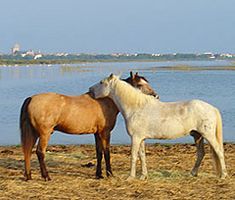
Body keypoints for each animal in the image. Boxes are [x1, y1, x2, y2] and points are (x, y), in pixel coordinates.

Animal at [19, 72, 157, 181]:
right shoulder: (105, 132)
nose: (156, 96)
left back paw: (28, 176)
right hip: (44, 134)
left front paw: (99, 175)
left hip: (34, 133)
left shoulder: (97, 133)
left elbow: (99, 153)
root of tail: (31, 98)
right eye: (140, 85)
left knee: (28, 151)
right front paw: (110, 174)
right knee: (40, 152)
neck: (105, 101)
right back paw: (46, 176)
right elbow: (107, 152)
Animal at [88, 74, 228, 180]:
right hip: (197, 135)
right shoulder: (141, 138)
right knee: (200, 154)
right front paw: (143, 176)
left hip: (208, 135)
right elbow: (142, 156)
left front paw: (130, 177)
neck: (136, 108)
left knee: (219, 151)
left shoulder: (135, 138)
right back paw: (193, 173)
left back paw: (223, 175)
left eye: (101, 82)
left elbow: (133, 156)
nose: (90, 90)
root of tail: (212, 108)